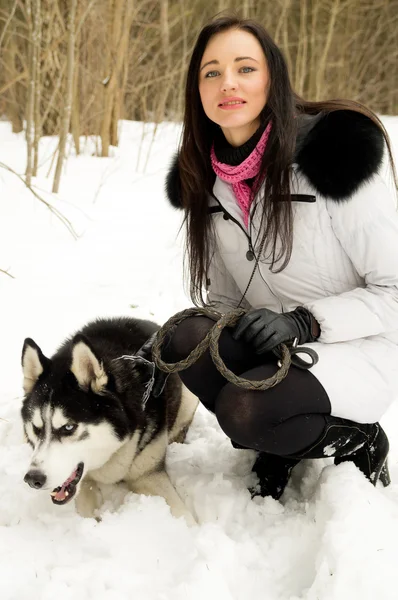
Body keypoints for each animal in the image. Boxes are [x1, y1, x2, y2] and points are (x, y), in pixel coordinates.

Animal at [20, 316, 197, 524]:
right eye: (36, 428)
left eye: (68, 427)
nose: (33, 479)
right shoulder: (84, 482)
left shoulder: (149, 474)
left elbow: (185, 517)